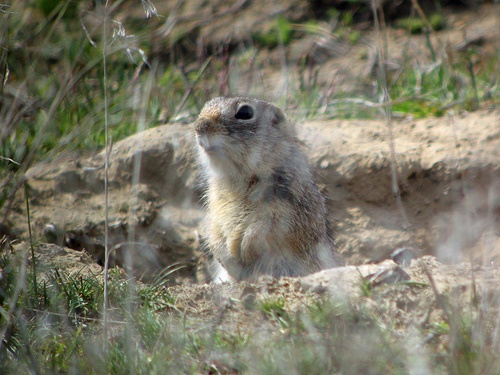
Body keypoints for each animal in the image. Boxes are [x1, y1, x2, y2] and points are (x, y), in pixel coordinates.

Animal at [193, 97, 342, 282]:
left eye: (245, 113)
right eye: (205, 106)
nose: (199, 126)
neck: (240, 176)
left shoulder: (288, 205)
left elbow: (264, 228)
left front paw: (246, 251)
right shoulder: (215, 204)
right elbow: (215, 231)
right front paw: (227, 258)